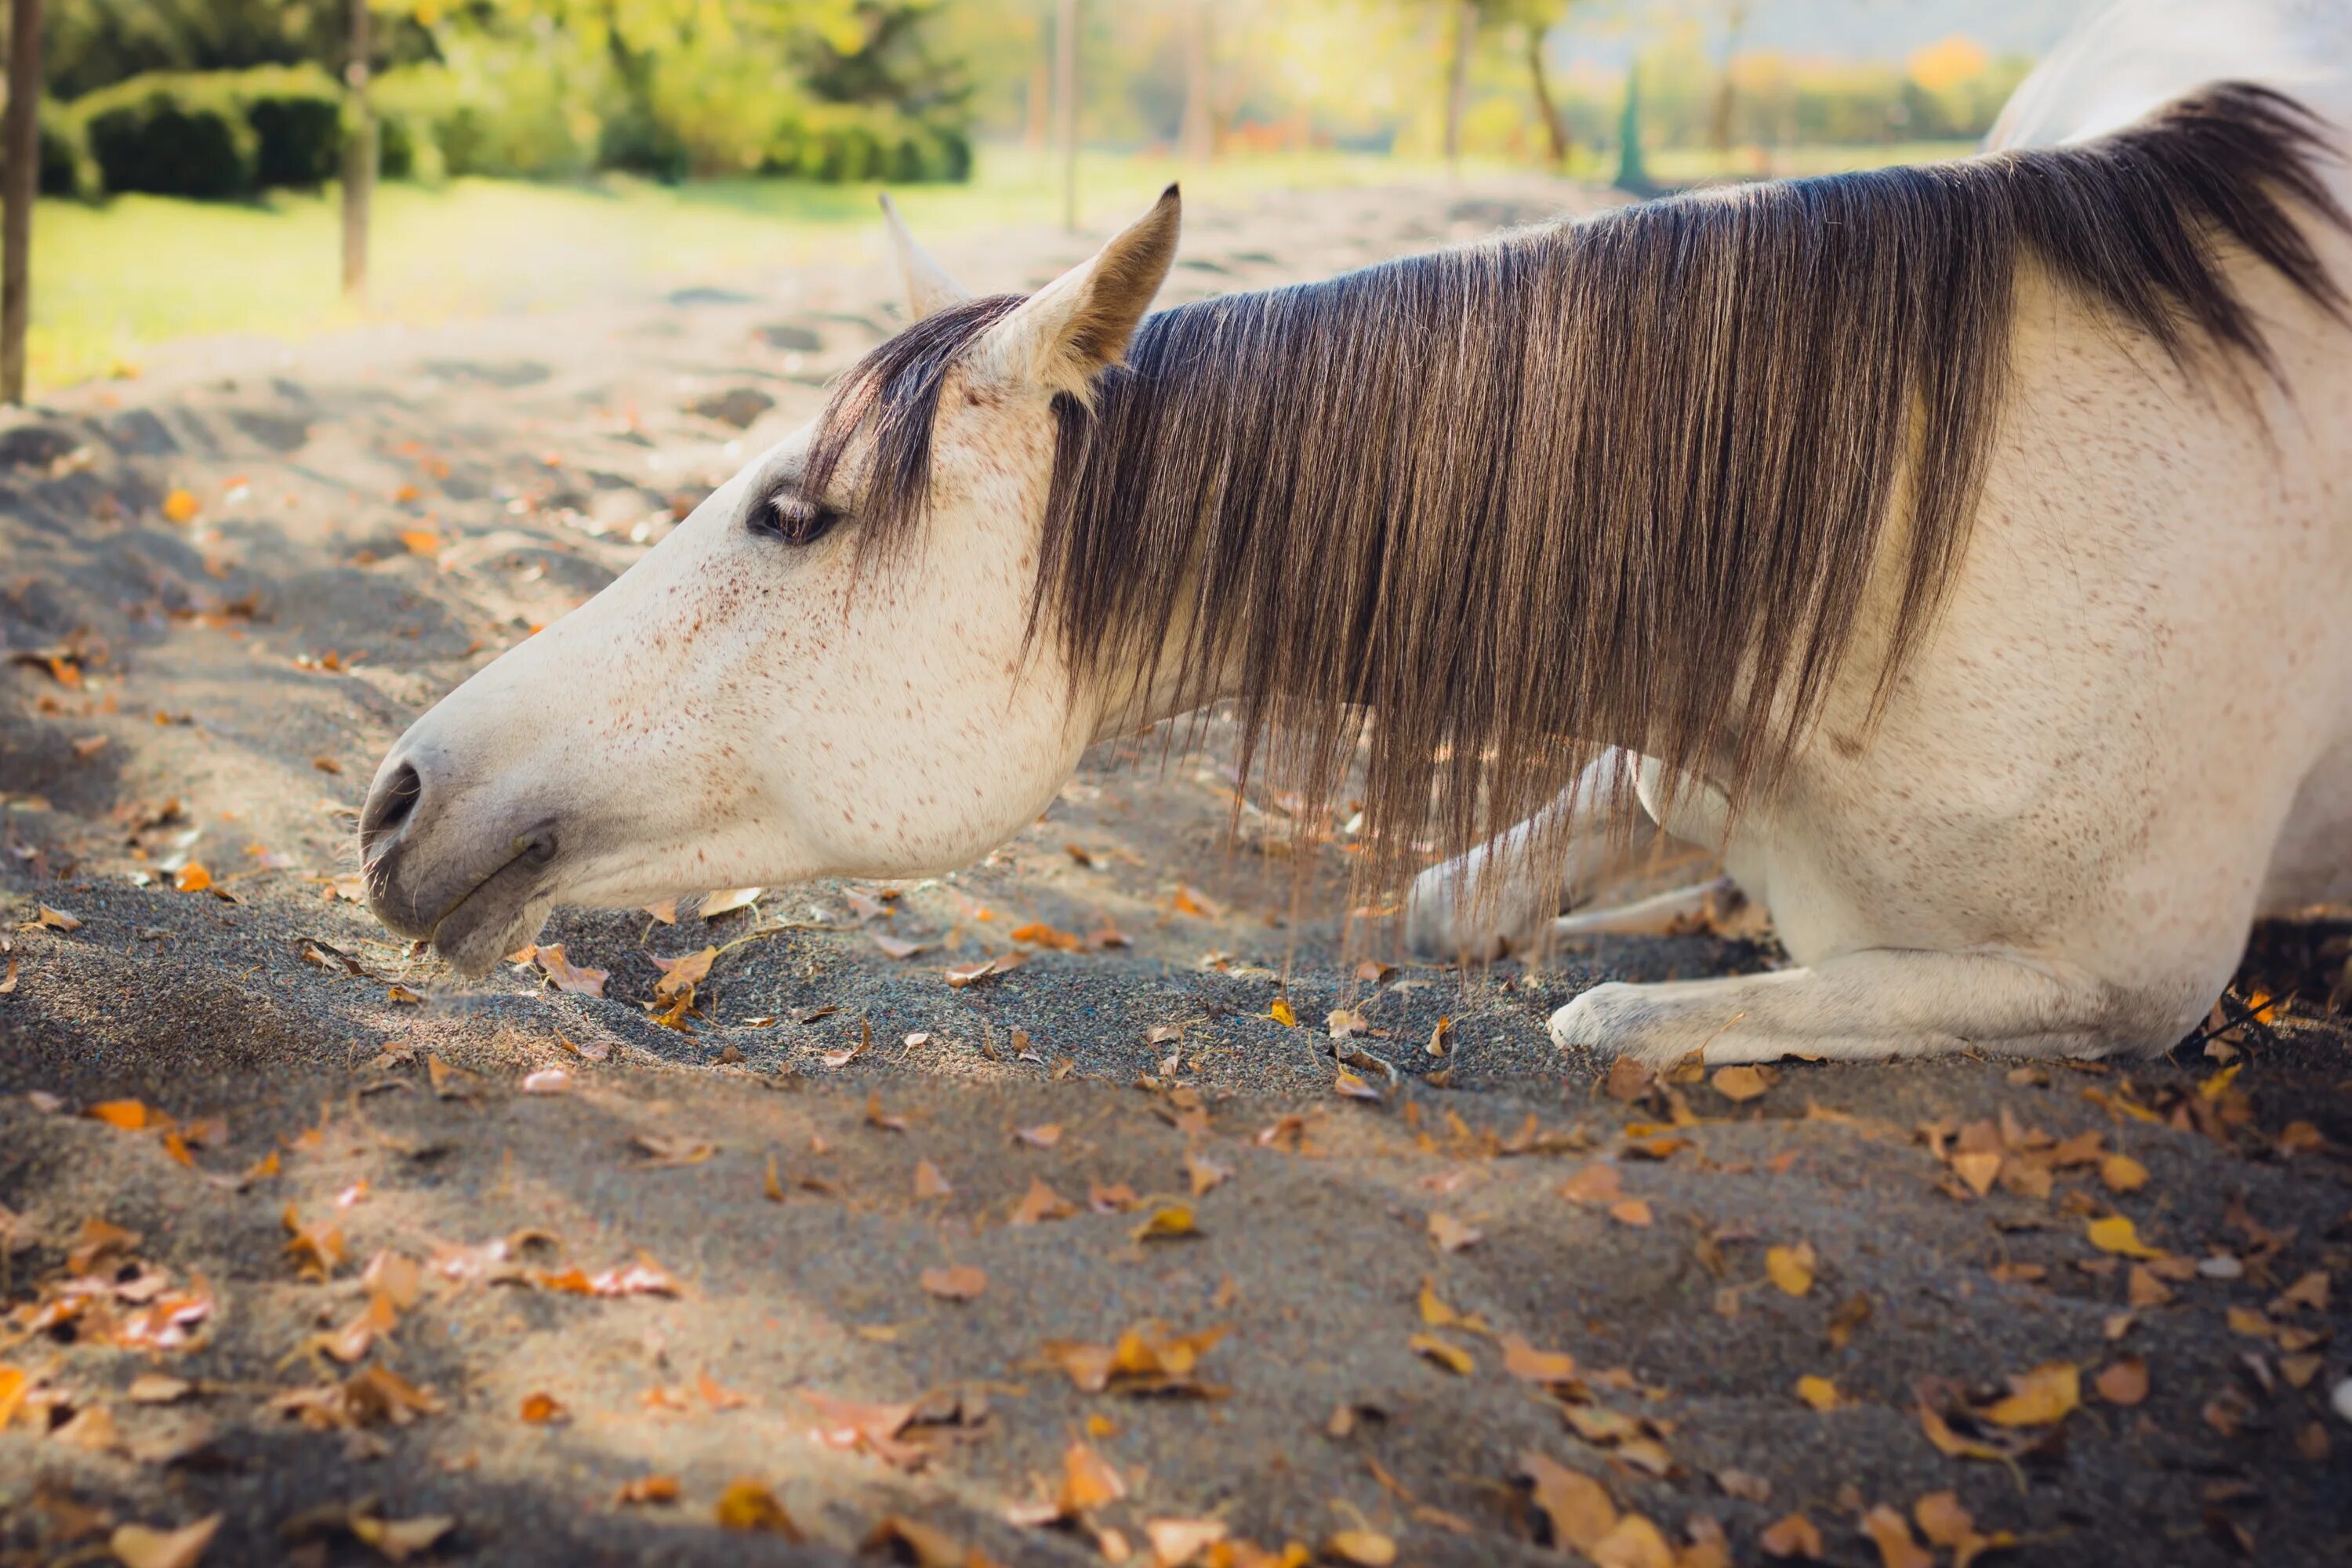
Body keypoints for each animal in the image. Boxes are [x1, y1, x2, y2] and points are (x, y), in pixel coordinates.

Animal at [358, 0, 2352, 1067]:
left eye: (794, 512)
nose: (393, 794)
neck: (1924, 584)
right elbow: (1457, 901)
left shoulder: (2118, 989)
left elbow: (1623, 1018)